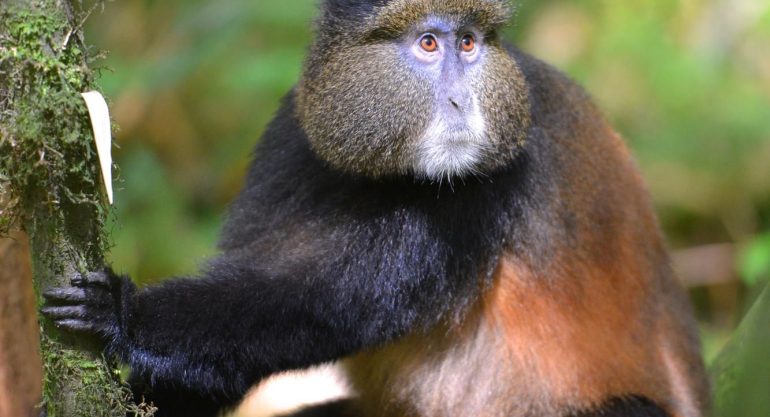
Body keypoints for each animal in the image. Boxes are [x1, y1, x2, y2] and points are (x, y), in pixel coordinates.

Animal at [41, 1, 711, 416]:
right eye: (428, 43)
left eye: (470, 44)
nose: (462, 100)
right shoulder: (295, 134)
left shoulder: (492, 178)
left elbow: (330, 300)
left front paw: (124, 313)